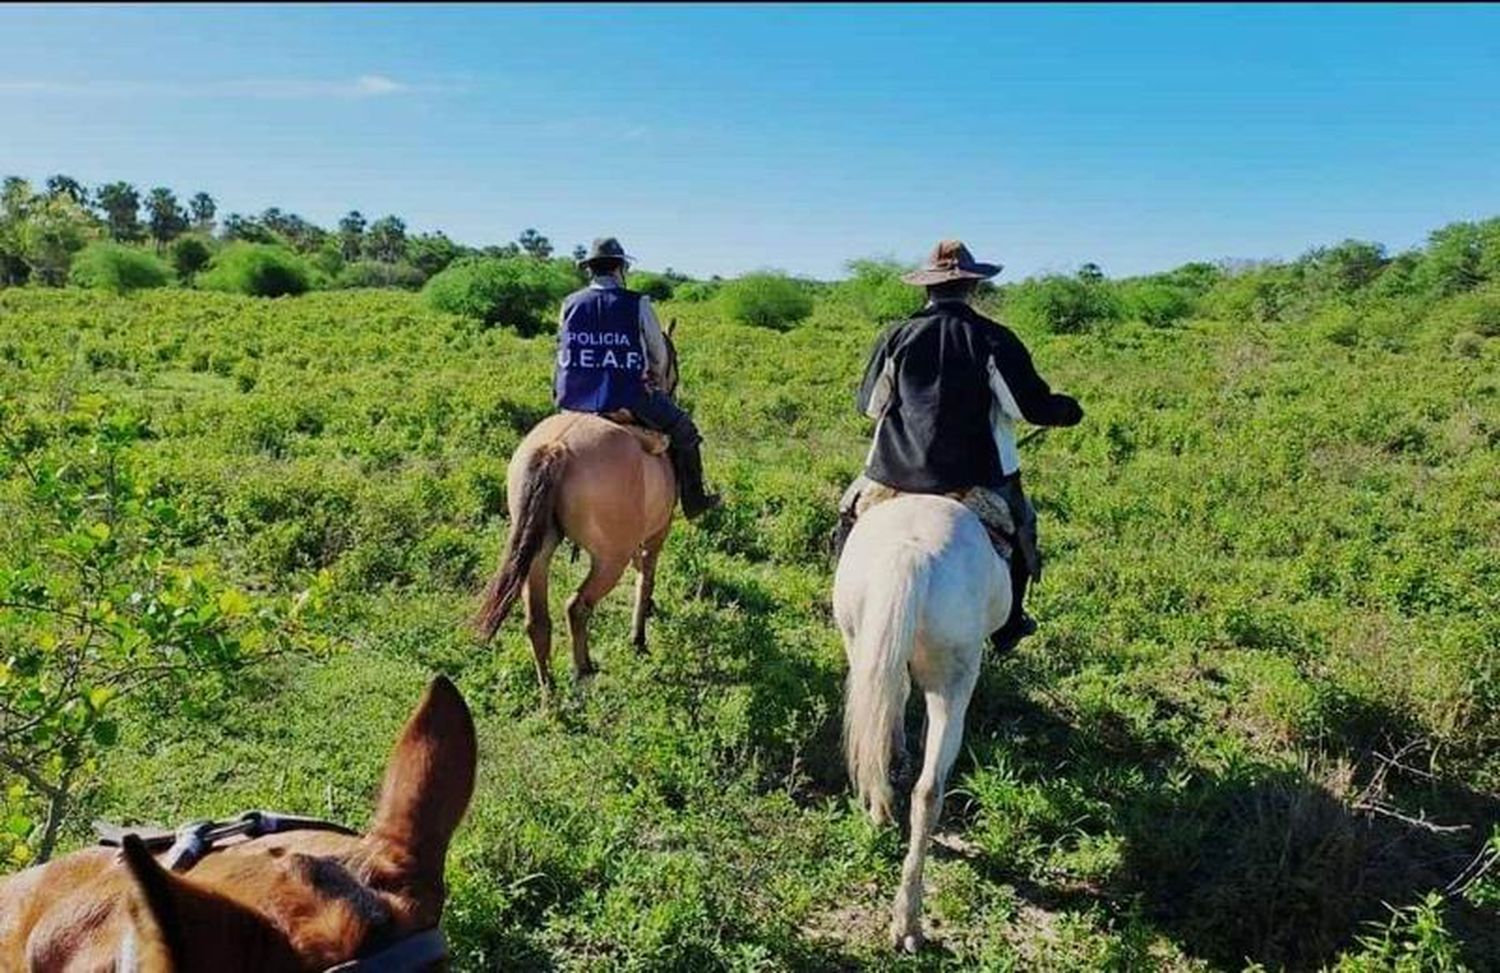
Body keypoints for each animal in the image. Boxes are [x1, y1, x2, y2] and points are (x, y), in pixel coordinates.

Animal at [474, 322, 681, 686]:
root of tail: (557, 447)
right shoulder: (658, 532)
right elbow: (645, 578)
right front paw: (639, 638)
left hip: (538, 550)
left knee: (537, 622)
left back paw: (549, 690)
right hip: (609, 559)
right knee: (577, 605)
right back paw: (583, 670)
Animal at [834, 494, 1008, 947]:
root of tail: (910, 552)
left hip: (859, 641)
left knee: (875, 736)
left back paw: (879, 813)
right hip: (955, 680)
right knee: (929, 790)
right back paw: (909, 922)